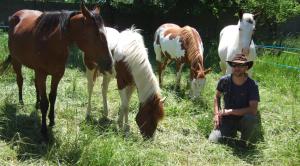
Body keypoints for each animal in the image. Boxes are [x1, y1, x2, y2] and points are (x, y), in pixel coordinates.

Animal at [0, 1, 112, 141]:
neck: (51, 43)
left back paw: (36, 103)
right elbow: (45, 103)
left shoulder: (57, 74)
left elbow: (52, 97)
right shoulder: (42, 73)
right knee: (20, 81)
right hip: (16, 61)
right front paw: (44, 131)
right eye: (96, 34)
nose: (109, 63)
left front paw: (52, 120)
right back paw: (21, 102)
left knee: (35, 84)